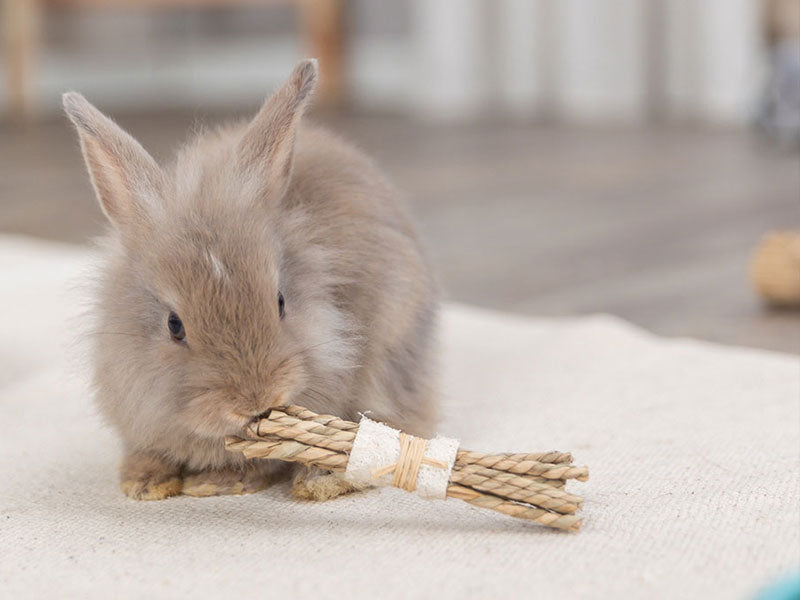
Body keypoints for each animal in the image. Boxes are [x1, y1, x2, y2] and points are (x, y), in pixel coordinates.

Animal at [63, 59, 439, 502]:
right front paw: (144, 483)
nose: (257, 400)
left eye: (280, 302)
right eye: (174, 326)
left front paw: (216, 482)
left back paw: (321, 480)